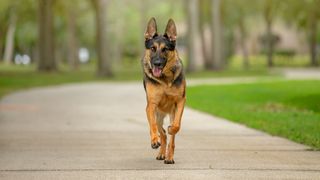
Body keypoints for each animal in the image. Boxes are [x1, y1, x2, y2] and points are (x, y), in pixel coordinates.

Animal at [142, 17, 186, 165]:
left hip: (171, 113)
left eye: (165, 49)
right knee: (161, 132)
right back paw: (161, 151)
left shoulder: (180, 102)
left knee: (170, 137)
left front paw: (172, 128)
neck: (165, 79)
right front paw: (154, 140)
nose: (157, 63)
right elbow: (153, 127)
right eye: (152, 48)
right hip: (157, 114)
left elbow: (176, 126)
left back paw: (169, 157)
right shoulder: (151, 105)